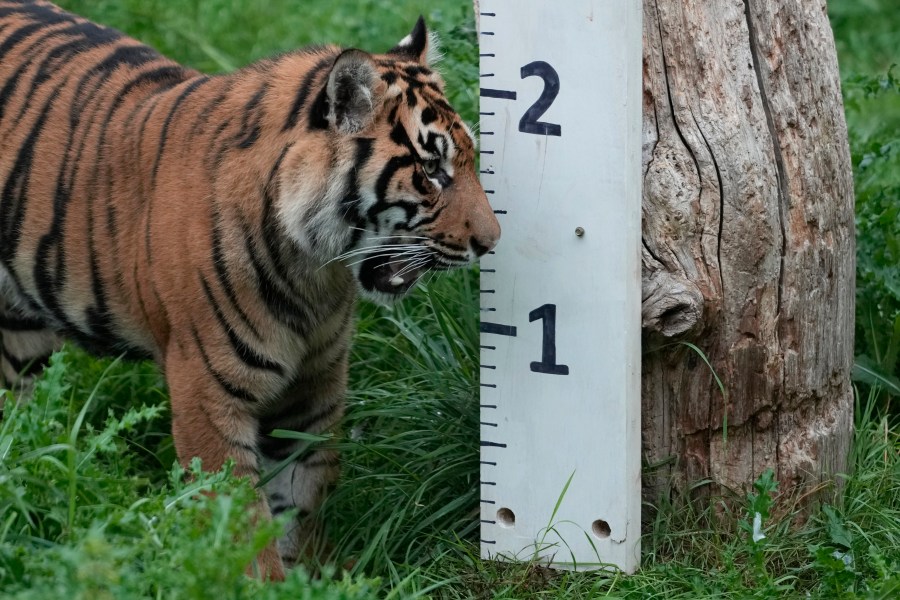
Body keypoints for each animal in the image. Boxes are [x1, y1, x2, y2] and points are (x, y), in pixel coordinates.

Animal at [0, 0, 500, 580]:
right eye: (430, 170)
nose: (492, 241)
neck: (312, 273)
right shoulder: (207, 396)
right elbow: (239, 521)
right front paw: (259, 582)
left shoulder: (313, 390)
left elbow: (304, 498)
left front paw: (312, 578)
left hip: (21, 336)